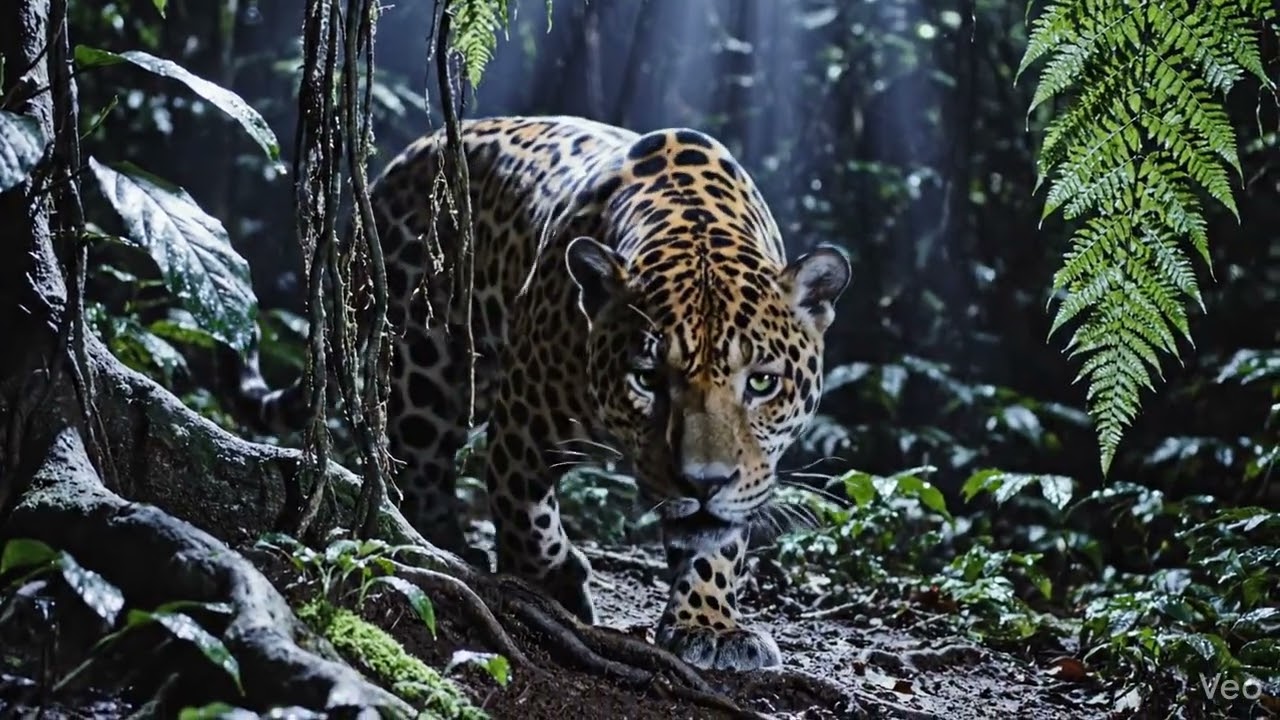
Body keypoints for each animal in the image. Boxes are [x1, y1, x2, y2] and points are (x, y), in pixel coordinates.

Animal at [235, 115, 851, 671]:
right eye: (647, 379)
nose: (703, 483)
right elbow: (527, 517)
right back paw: (446, 541)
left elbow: (715, 542)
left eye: (762, 383)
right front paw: (552, 584)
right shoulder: (524, 425)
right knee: (421, 459)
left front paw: (709, 626)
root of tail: (398, 164)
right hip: (426, 356)